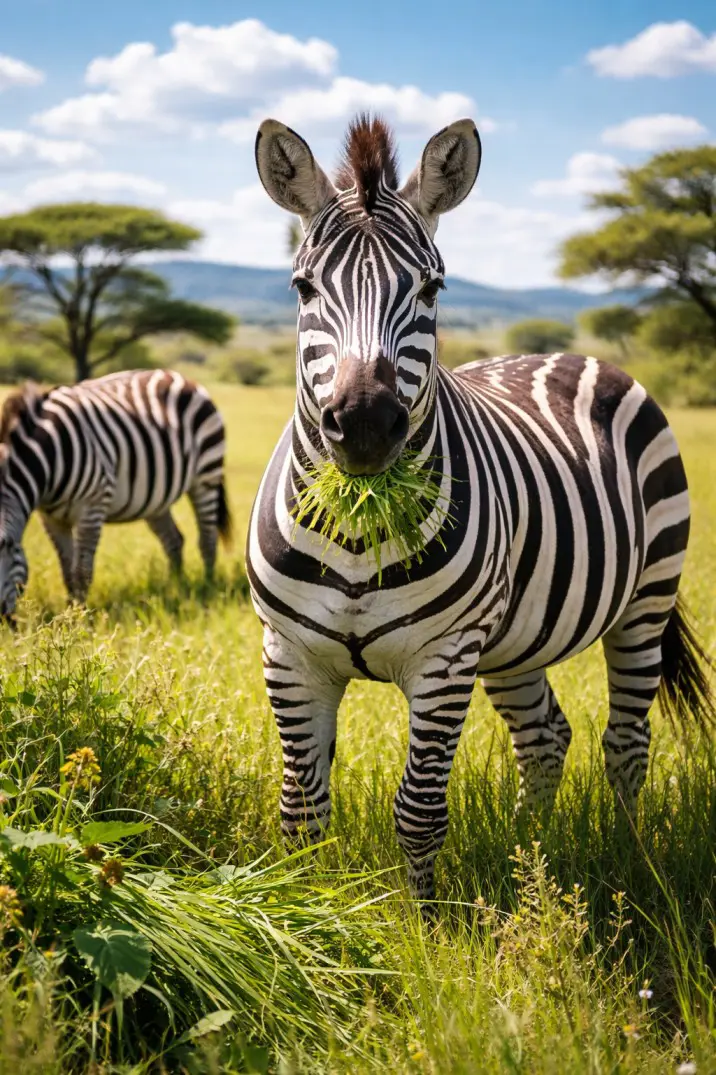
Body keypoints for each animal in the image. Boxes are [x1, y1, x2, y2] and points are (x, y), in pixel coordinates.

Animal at [0, 368, 231, 621]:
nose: (7, 623)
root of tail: (176, 375)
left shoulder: (93, 505)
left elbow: (81, 570)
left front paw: (80, 618)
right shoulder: (51, 518)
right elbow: (67, 570)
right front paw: (70, 612)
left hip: (207, 475)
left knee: (207, 539)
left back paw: (206, 586)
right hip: (156, 500)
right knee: (174, 541)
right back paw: (176, 586)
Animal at [249, 114, 713, 904]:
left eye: (432, 287)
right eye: (302, 286)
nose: (365, 424)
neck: (357, 533)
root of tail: (566, 353)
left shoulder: (444, 657)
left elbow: (419, 810)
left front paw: (425, 922)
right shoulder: (290, 654)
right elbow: (301, 811)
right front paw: (302, 917)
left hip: (645, 598)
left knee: (625, 742)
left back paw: (629, 863)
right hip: (515, 637)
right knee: (546, 736)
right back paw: (534, 857)